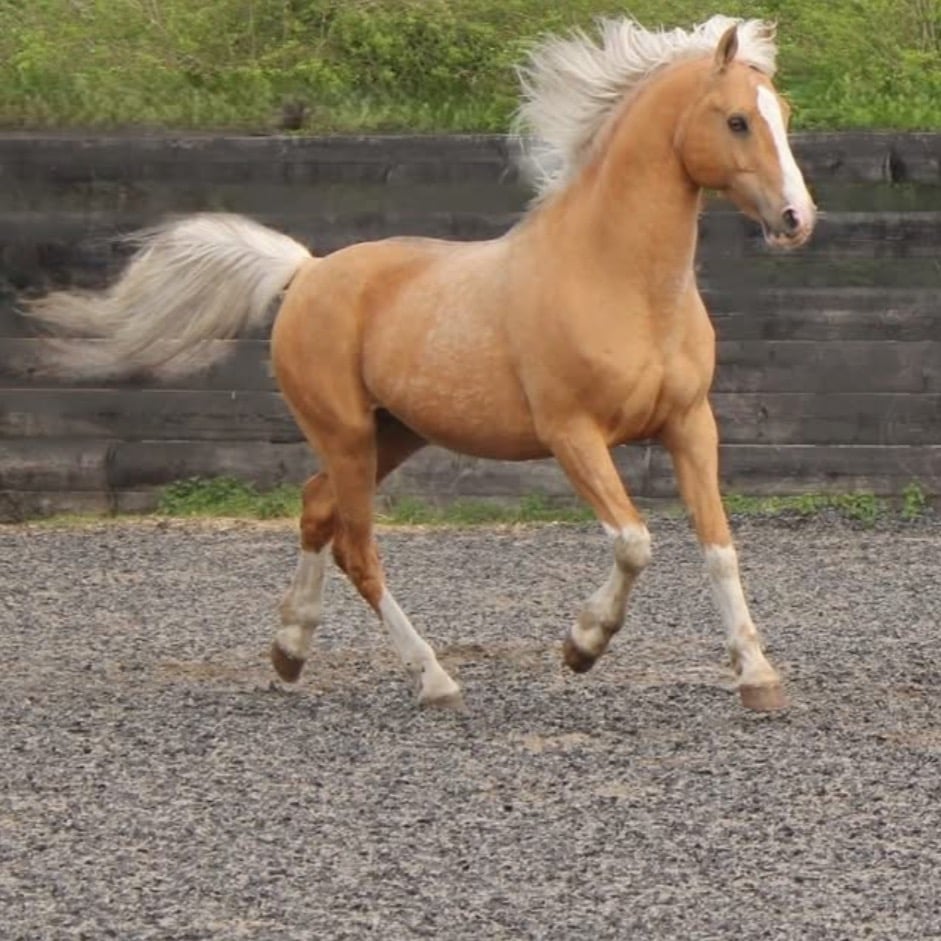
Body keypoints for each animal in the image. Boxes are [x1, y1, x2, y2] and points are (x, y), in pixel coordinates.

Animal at [25, 15, 815, 713]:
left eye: (781, 114)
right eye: (737, 121)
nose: (796, 220)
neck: (617, 281)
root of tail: (306, 273)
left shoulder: (690, 424)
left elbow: (718, 547)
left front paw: (758, 677)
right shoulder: (572, 434)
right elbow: (635, 542)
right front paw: (581, 645)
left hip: (392, 433)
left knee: (316, 510)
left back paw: (290, 650)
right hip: (346, 433)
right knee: (357, 547)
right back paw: (433, 680)